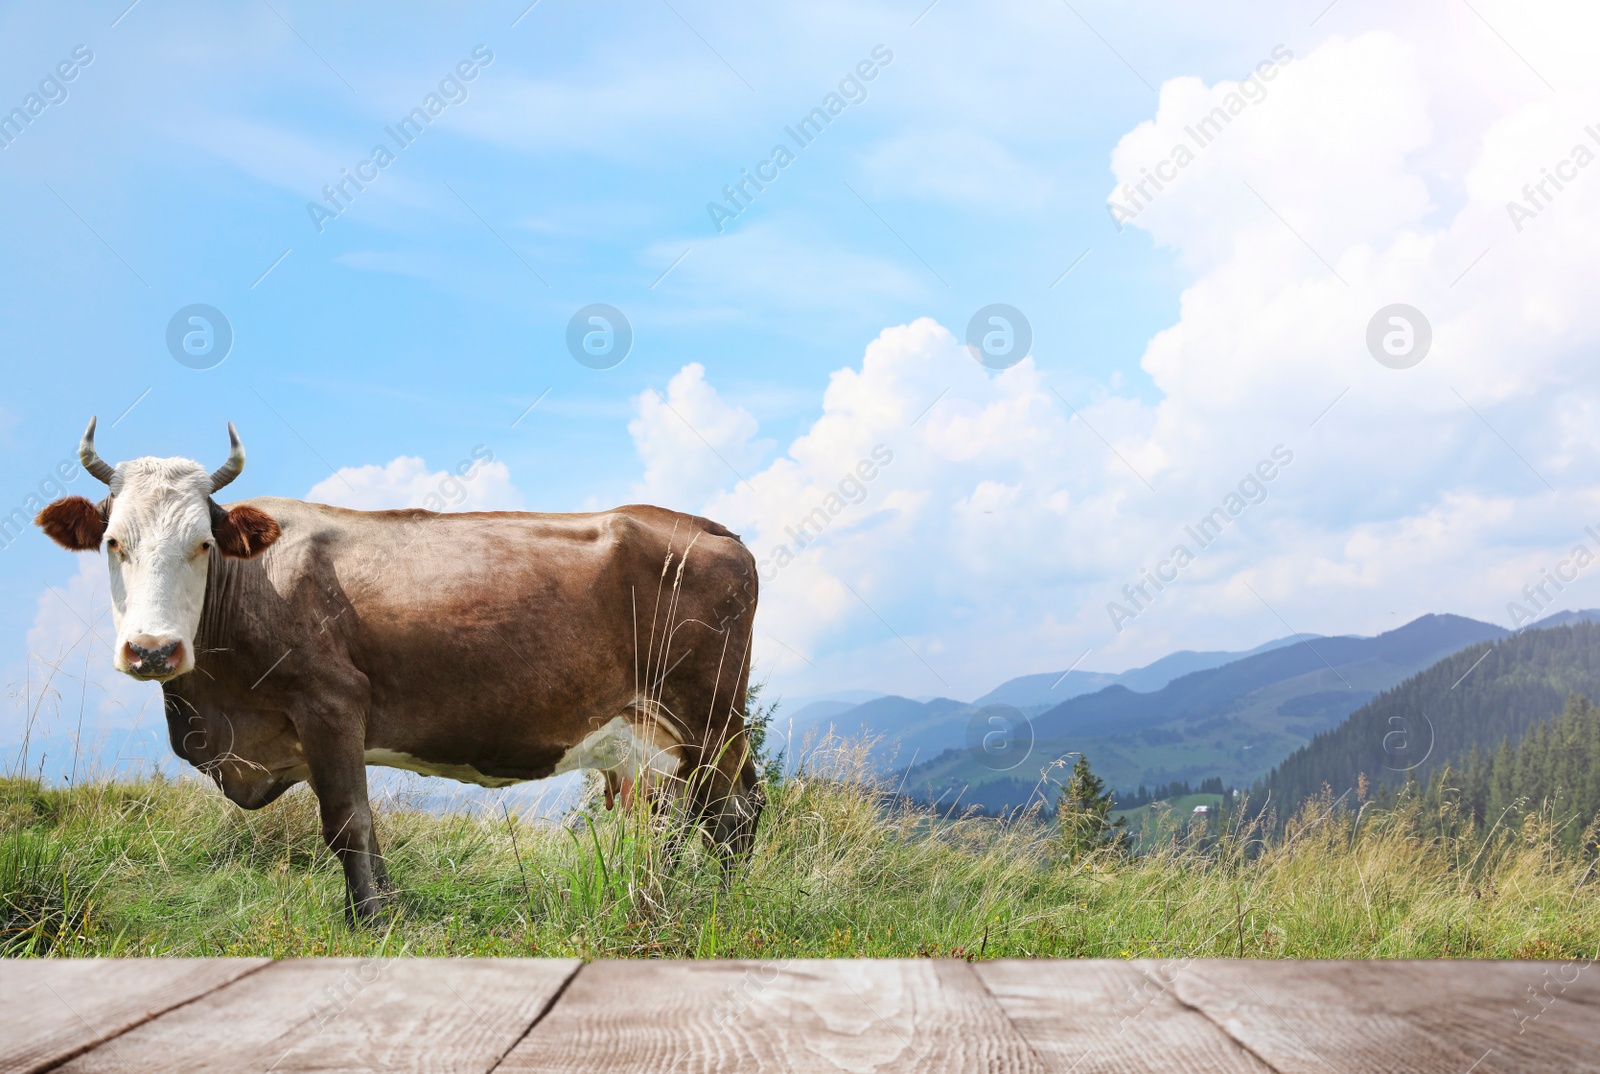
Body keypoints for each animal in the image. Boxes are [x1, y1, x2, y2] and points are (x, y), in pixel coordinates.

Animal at [36, 419, 761, 921]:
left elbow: (347, 822)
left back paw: (717, 905)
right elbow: (359, 822)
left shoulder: (330, 703)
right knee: (695, 816)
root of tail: (703, 526)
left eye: (204, 545)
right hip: (668, 734)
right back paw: (664, 896)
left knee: (733, 814)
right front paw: (382, 906)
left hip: (710, 715)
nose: (153, 650)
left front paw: (371, 920)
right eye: (113, 542)